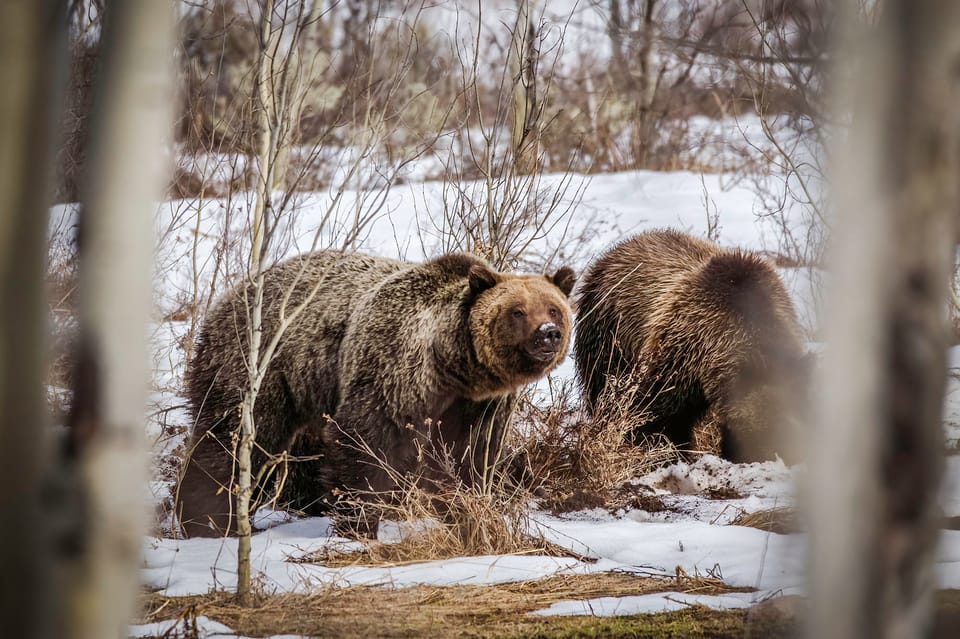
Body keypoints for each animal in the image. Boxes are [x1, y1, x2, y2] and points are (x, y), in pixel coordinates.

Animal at [176, 250, 572, 540]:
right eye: (517, 311)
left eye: (554, 308)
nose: (548, 333)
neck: (452, 365)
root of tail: (229, 294)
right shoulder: (394, 369)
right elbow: (365, 442)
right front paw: (359, 523)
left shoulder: (478, 405)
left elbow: (470, 457)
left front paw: (468, 512)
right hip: (257, 362)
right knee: (236, 437)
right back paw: (207, 520)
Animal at [572, 231, 808, 464]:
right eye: (767, 430)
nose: (779, 457)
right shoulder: (682, 355)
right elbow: (656, 416)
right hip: (608, 335)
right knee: (603, 390)